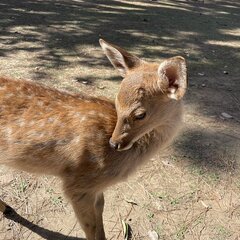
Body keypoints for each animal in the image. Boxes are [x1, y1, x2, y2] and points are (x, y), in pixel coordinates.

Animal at [0, 39, 188, 240]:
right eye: (117, 103)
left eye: (140, 114)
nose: (114, 143)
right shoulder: (77, 185)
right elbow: (90, 227)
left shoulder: (95, 190)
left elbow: (100, 216)